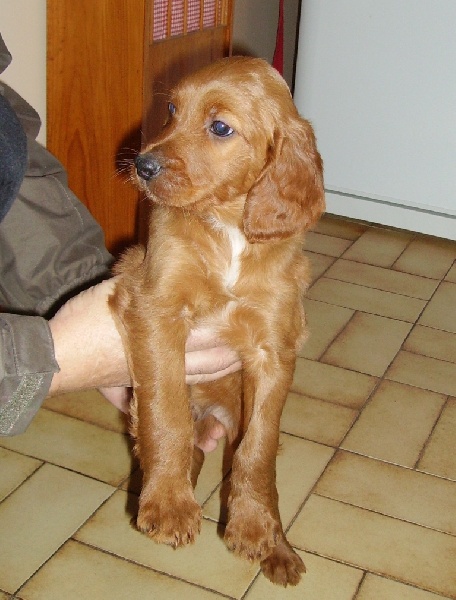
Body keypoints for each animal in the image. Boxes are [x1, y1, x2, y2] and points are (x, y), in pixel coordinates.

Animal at [110, 56, 325, 586]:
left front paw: (254, 528)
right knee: (179, 438)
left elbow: (258, 451)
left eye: (220, 127)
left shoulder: (275, 347)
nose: (142, 165)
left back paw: (278, 549)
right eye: (170, 110)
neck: (228, 229)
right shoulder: (155, 306)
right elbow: (164, 412)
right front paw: (168, 506)